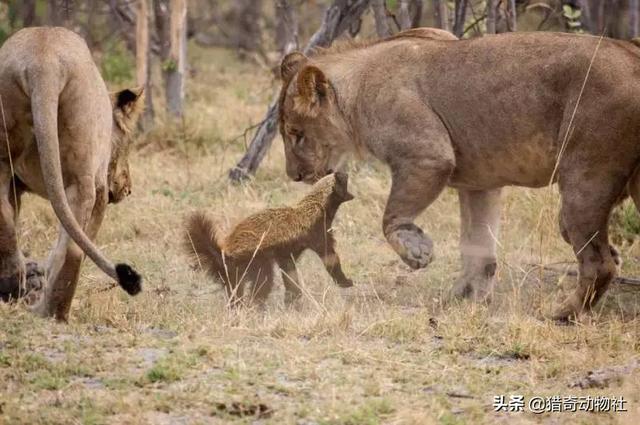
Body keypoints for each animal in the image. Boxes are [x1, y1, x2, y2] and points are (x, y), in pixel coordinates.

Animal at [185, 171, 356, 306]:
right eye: (343, 179)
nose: (345, 171)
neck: (316, 206)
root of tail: (224, 253)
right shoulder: (317, 233)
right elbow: (330, 258)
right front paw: (346, 282)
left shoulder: (287, 253)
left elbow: (289, 273)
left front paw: (292, 298)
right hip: (256, 260)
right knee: (263, 283)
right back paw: (255, 306)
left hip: (237, 272)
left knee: (235, 291)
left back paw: (238, 308)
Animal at [278, 28, 640, 320]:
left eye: (296, 134)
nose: (294, 176)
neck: (355, 93)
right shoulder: (479, 183)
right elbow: (477, 249)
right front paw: (461, 299)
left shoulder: (428, 156)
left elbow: (390, 218)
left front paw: (417, 252)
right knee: (597, 252)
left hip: (585, 178)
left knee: (599, 262)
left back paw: (562, 313)